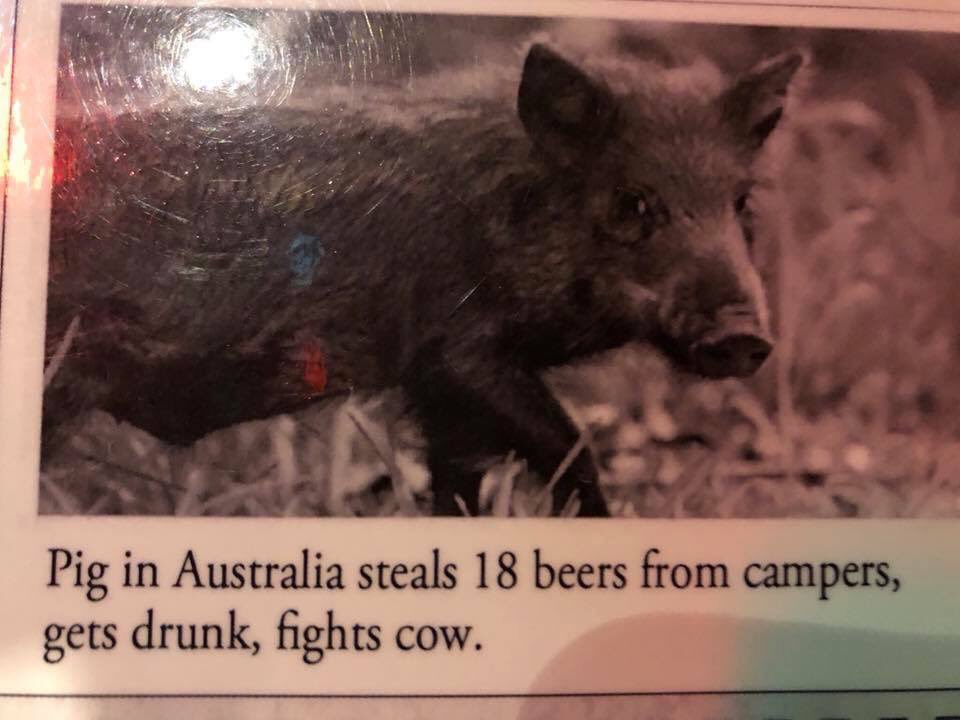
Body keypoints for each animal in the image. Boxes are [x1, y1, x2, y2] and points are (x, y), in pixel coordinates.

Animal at [43, 43, 803, 516]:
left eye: (740, 202)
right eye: (633, 203)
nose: (745, 337)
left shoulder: (440, 393)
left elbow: (460, 482)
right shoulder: (457, 350)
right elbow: (573, 448)